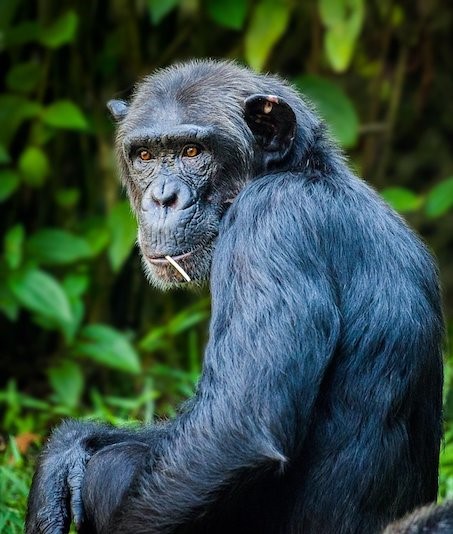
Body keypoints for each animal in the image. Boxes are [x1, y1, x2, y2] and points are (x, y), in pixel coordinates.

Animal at [24, 59, 442, 534]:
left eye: (192, 152)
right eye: (145, 156)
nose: (162, 198)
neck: (299, 173)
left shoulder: (269, 224)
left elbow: (232, 428)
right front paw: (66, 451)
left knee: (114, 469)